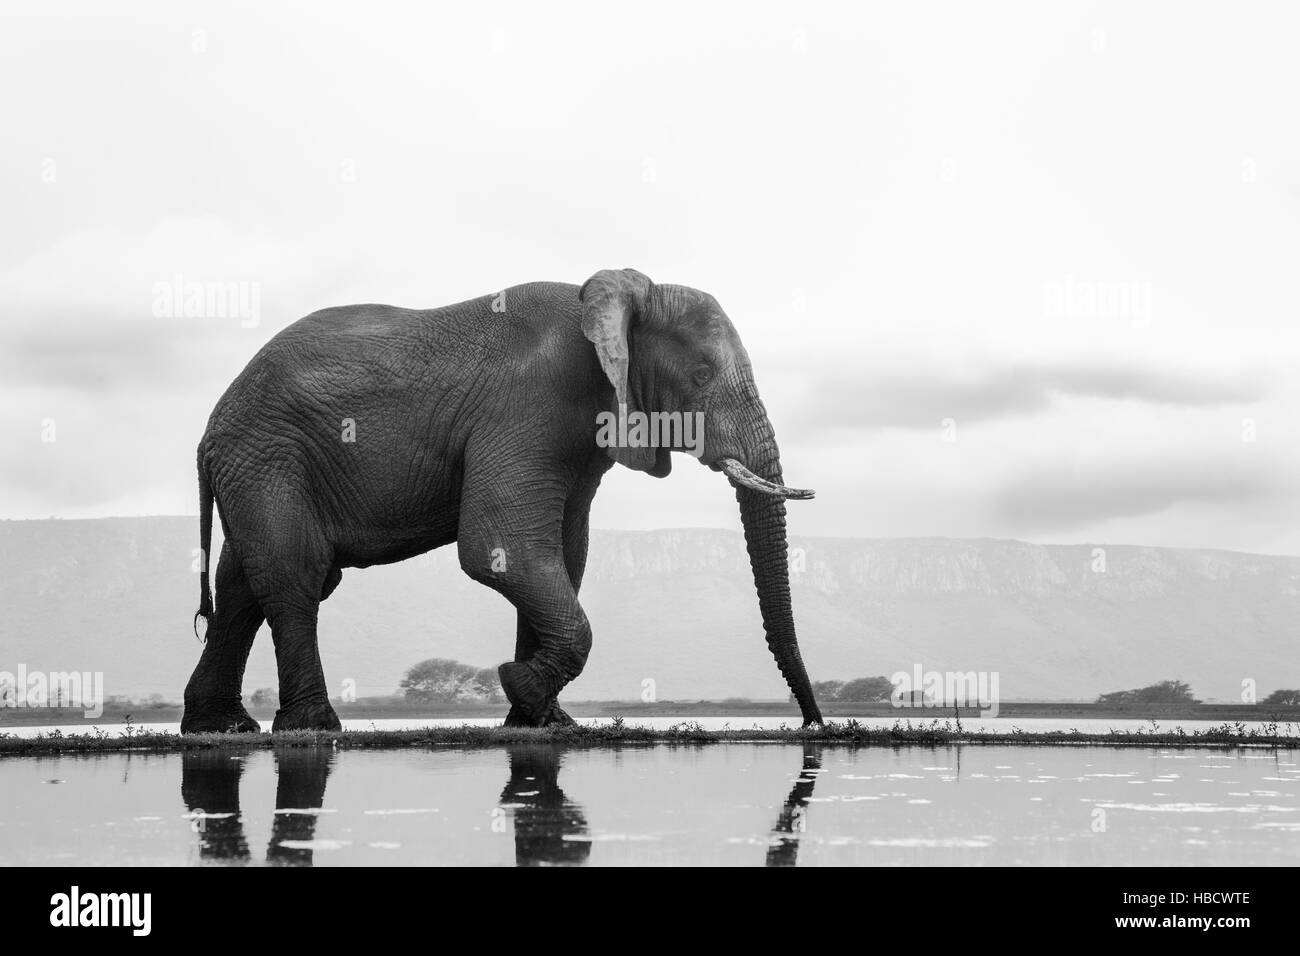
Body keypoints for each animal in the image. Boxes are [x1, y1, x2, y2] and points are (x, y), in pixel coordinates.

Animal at [180, 269, 821, 733]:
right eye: (702, 373)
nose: (812, 726)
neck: (614, 299)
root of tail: (209, 430)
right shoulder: (527, 407)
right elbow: (501, 547)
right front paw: (521, 686)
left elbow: (561, 555)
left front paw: (544, 721)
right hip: (268, 457)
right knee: (297, 575)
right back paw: (312, 728)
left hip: (254, 466)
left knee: (242, 585)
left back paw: (220, 728)